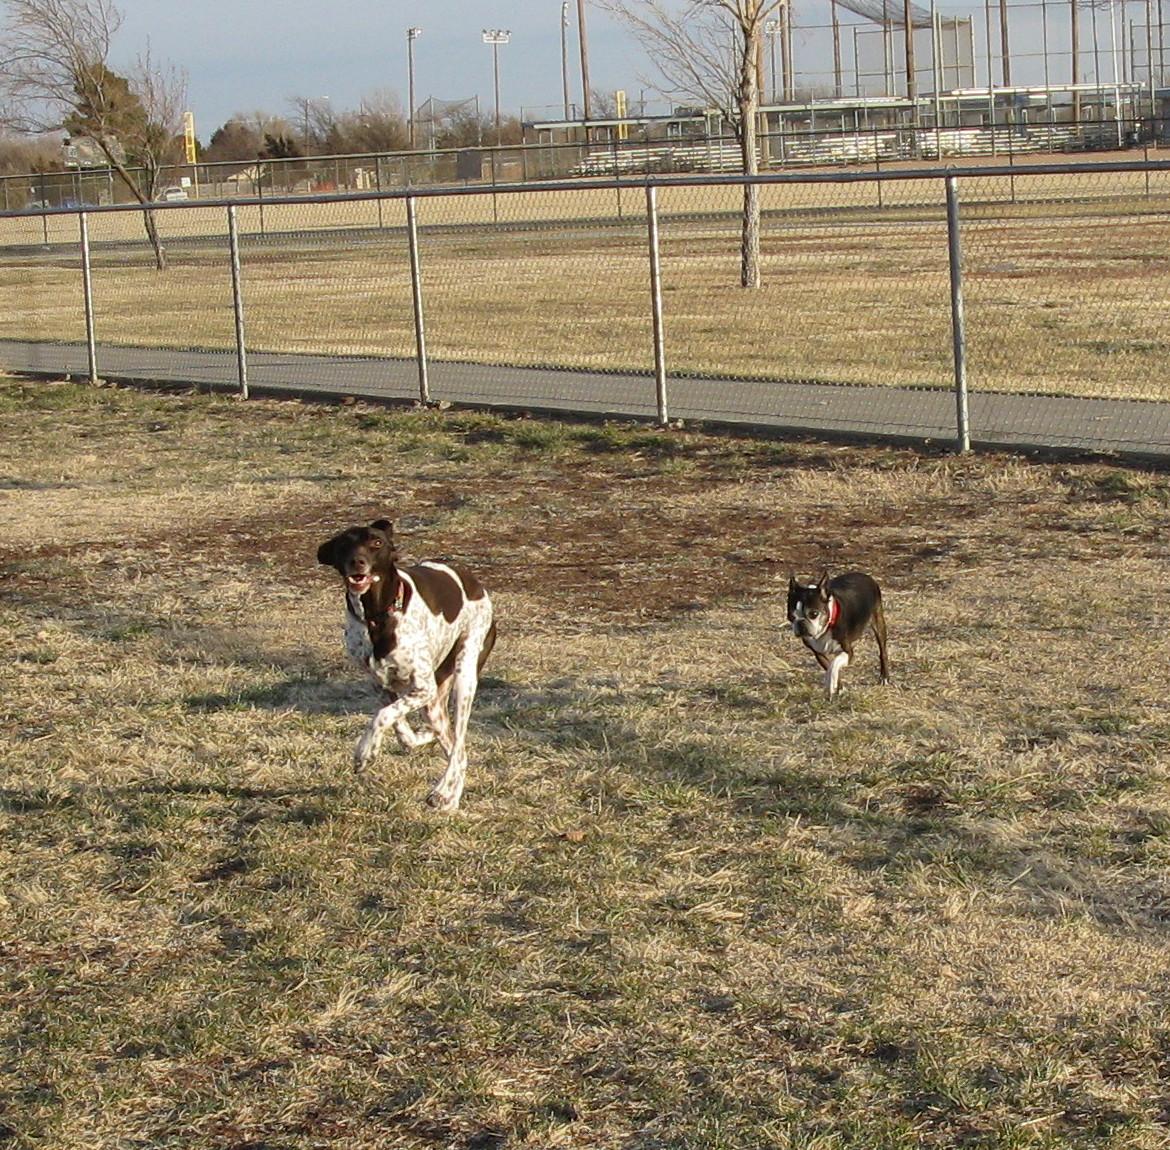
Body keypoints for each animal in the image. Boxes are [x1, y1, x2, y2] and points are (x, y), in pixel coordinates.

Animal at [320, 517, 498, 814]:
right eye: (344, 544)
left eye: (376, 542)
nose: (357, 562)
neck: (377, 616)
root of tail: (475, 584)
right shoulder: (381, 685)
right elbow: (398, 725)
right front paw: (401, 740)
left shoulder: (423, 688)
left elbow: (382, 716)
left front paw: (364, 752)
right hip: (434, 704)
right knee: (453, 746)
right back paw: (449, 797)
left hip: (464, 677)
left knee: (459, 747)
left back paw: (442, 791)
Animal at [790, 568, 889, 697]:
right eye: (791, 616)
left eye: (814, 614)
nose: (800, 623)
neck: (826, 628)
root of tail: (866, 576)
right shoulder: (819, 654)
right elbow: (829, 666)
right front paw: (839, 688)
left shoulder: (848, 653)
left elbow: (834, 664)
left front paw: (832, 683)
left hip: (878, 622)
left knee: (883, 651)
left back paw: (884, 677)